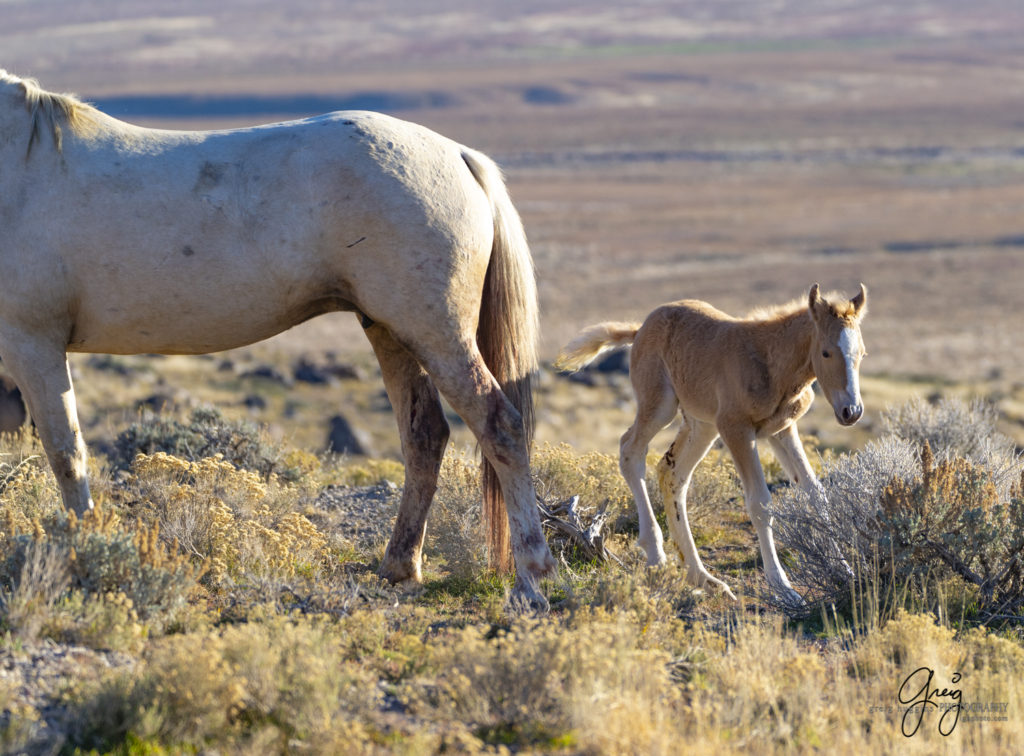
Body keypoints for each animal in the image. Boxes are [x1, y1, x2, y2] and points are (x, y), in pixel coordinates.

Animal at [0, 67, 557, 602]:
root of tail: (458, 156)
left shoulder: (34, 344)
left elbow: (65, 453)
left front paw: (81, 548)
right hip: (390, 331)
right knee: (425, 435)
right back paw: (399, 567)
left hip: (437, 333)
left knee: (499, 426)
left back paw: (531, 577)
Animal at [557, 282, 868, 602]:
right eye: (826, 352)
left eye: (861, 354)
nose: (851, 412)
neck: (770, 361)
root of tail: (640, 328)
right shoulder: (737, 429)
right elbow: (760, 503)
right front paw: (782, 587)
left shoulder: (781, 430)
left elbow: (815, 493)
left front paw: (846, 571)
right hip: (661, 407)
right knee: (630, 450)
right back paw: (657, 557)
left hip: (702, 426)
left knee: (672, 474)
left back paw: (704, 578)